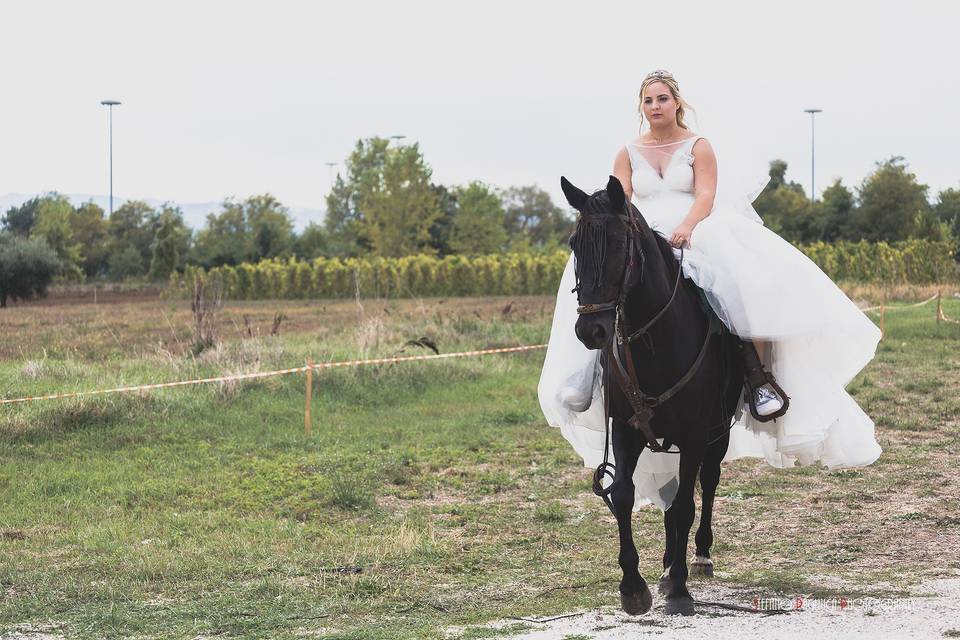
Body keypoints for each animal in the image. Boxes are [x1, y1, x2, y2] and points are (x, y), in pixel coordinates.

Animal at [560, 174, 748, 616]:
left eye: (617, 243)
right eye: (575, 243)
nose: (590, 330)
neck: (656, 343)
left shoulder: (696, 434)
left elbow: (685, 506)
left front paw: (679, 588)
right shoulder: (625, 430)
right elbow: (624, 495)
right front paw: (633, 587)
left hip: (717, 432)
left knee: (706, 484)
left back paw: (698, 558)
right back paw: (665, 564)